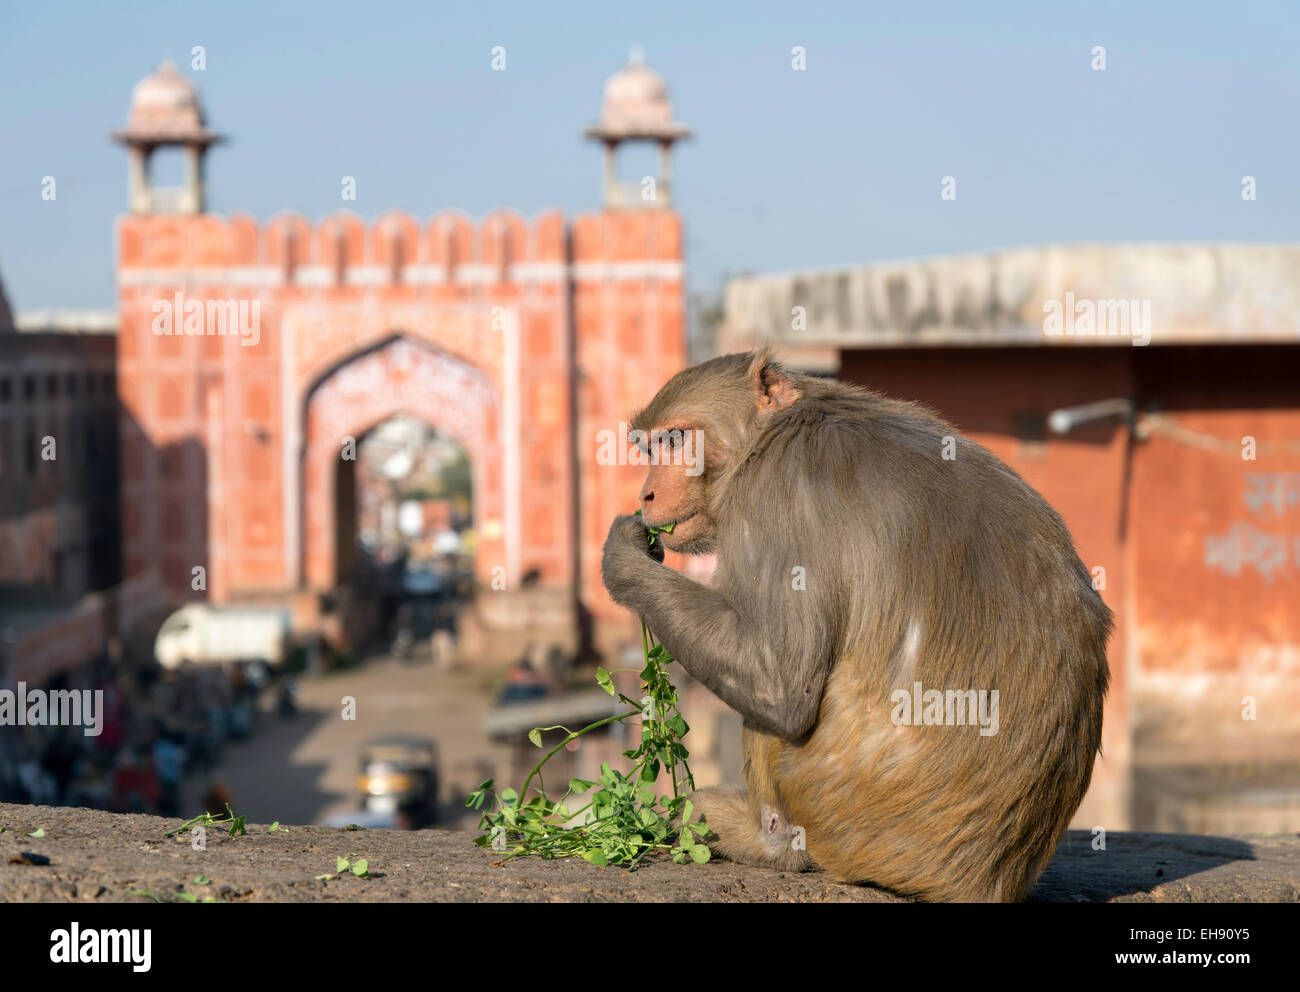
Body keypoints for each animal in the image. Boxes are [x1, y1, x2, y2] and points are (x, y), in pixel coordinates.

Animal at [603, 348, 1112, 899]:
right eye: (651, 447)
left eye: (675, 440)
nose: (647, 494)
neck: (772, 431)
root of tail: (985, 879)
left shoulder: (779, 490)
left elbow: (777, 685)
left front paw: (624, 559)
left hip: (823, 800)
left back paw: (764, 842)